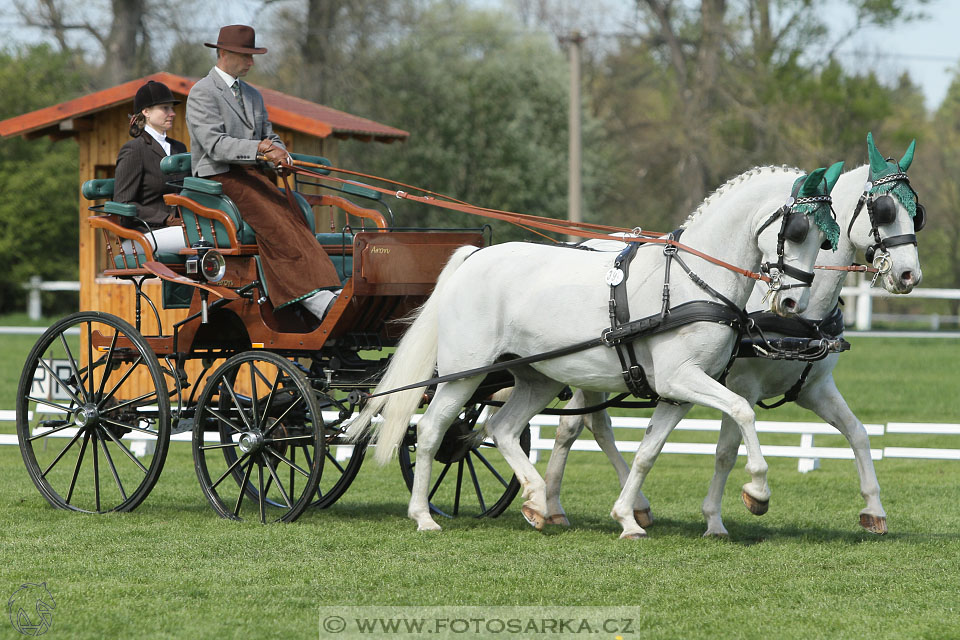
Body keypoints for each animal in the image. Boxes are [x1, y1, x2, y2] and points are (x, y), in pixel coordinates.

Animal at [348, 162, 836, 532]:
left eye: (826, 238)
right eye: (796, 231)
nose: (792, 303)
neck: (692, 281)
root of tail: (472, 257)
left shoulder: (677, 392)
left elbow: (648, 452)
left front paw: (629, 518)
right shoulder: (682, 378)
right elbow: (743, 411)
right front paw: (757, 492)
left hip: (537, 378)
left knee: (501, 428)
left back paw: (538, 501)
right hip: (463, 374)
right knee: (432, 431)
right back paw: (424, 517)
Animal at [544, 132, 920, 536]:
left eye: (917, 212)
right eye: (885, 210)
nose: (910, 275)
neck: (799, 318)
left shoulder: (814, 388)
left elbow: (858, 432)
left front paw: (874, 509)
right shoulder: (742, 386)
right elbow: (726, 451)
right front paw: (729, 510)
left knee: (590, 424)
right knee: (575, 427)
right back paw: (551, 504)